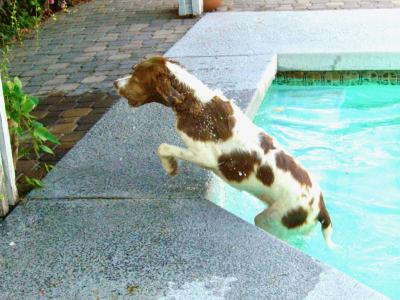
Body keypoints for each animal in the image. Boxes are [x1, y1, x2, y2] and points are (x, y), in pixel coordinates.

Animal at [113, 55, 334, 246]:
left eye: (135, 75)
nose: (115, 82)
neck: (196, 103)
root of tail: (321, 207)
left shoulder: (206, 157)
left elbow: (164, 146)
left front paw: (170, 167)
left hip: (274, 221)